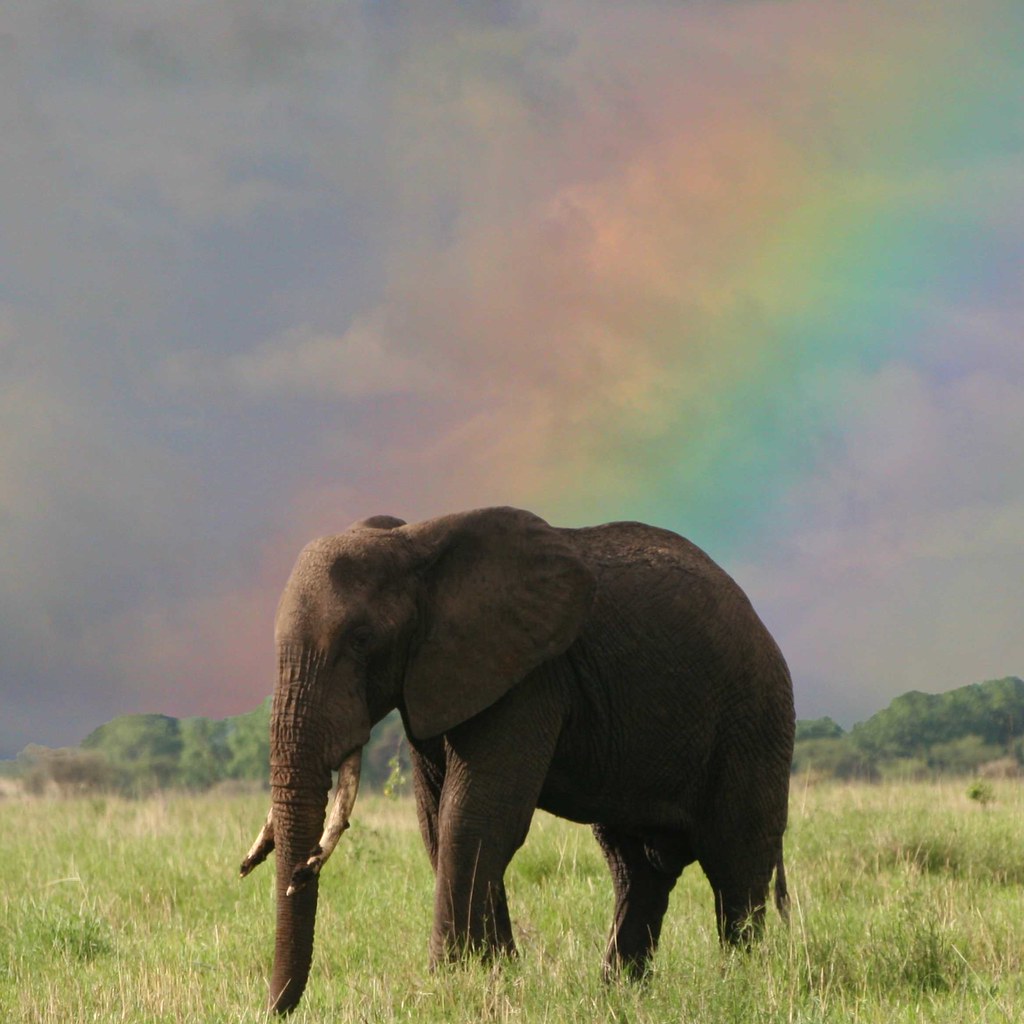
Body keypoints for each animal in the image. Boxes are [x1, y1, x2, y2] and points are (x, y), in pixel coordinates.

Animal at [241, 506, 795, 1014]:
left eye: (361, 640)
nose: (274, 1011)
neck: (415, 544)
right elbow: (437, 822)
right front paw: (497, 976)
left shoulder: (530, 677)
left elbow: (474, 817)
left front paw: (449, 988)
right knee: (636, 870)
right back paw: (620, 995)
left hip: (755, 720)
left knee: (736, 866)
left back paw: (739, 987)